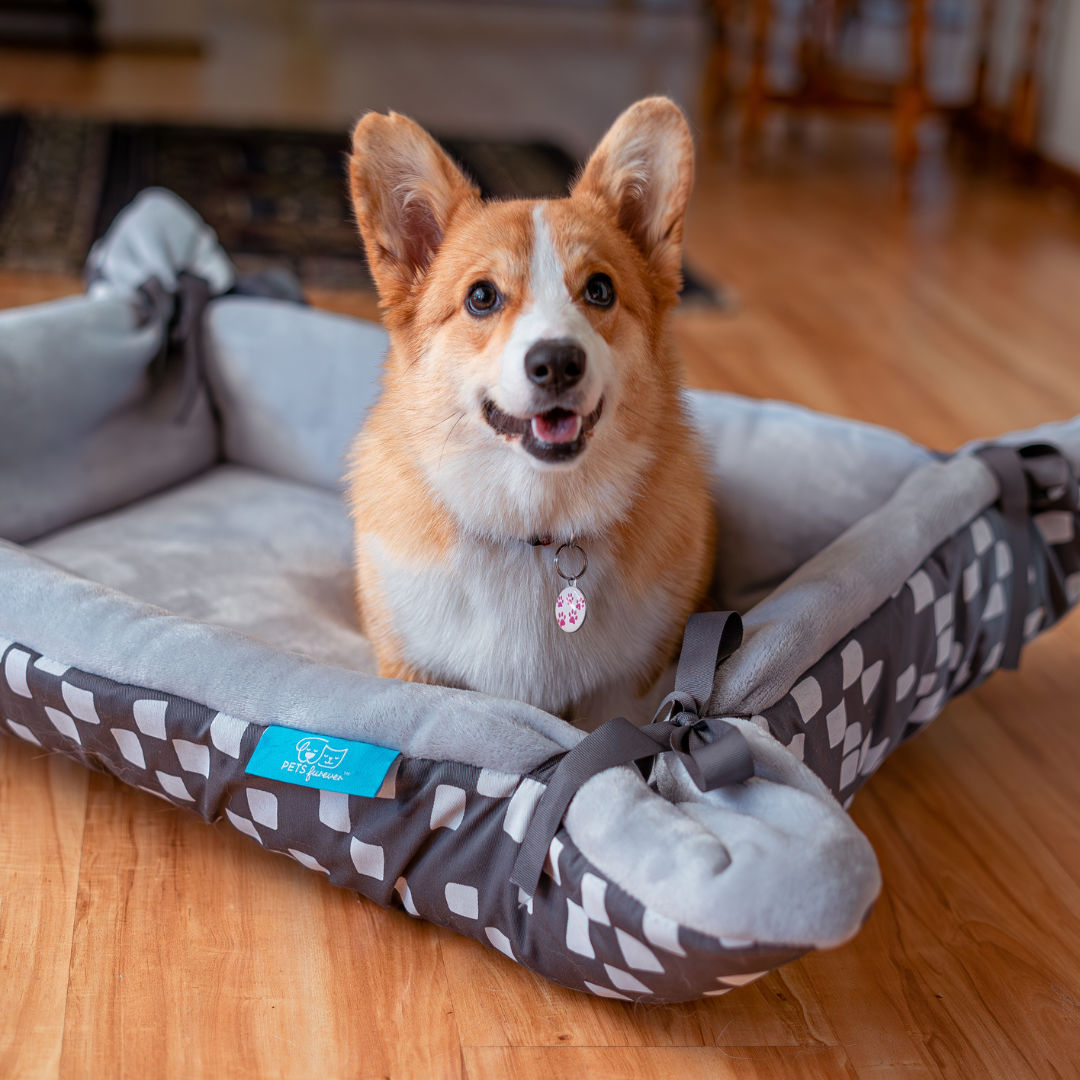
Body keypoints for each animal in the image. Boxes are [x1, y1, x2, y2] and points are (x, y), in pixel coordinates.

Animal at [347, 97, 717, 721]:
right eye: (482, 297)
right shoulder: (411, 666)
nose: (558, 363)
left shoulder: (625, 690)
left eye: (600, 290)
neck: (535, 529)